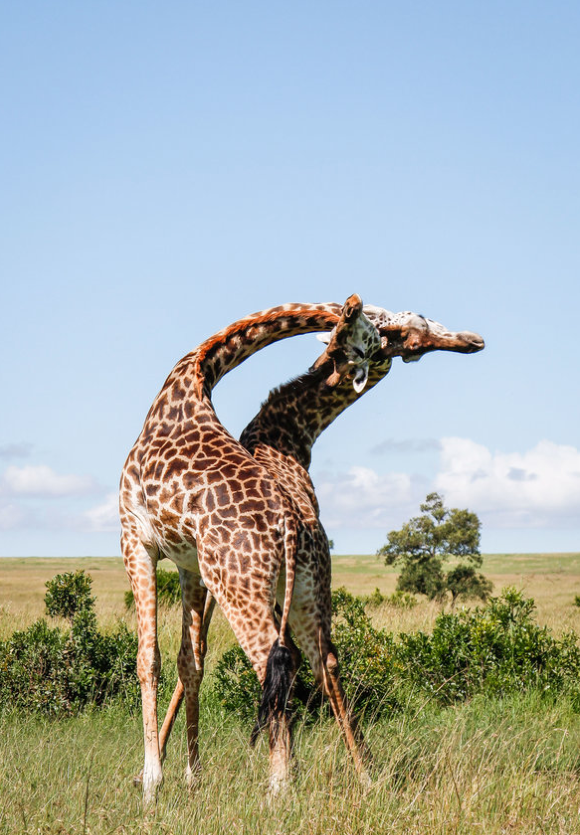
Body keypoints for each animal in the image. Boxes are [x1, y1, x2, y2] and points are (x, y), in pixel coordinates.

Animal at [119, 296, 380, 804]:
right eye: (369, 335)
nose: (337, 369)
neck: (191, 377)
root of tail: (291, 525)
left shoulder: (134, 538)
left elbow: (148, 660)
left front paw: (152, 784)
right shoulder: (190, 565)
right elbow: (189, 663)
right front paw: (193, 776)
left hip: (240, 588)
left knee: (270, 665)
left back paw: (279, 788)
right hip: (306, 592)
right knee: (322, 663)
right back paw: (362, 777)